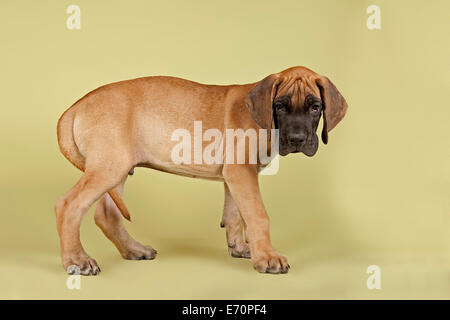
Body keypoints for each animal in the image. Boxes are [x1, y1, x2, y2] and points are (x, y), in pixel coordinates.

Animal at [54, 67, 346, 276]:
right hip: (109, 168)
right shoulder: (241, 173)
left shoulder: (234, 176)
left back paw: (134, 250)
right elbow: (257, 215)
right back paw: (77, 261)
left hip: (116, 168)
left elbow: (235, 214)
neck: (263, 118)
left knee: (106, 214)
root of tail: (75, 106)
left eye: (315, 107)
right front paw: (268, 257)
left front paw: (241, 247)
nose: (297, 139)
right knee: (68, 205)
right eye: (280, 106)